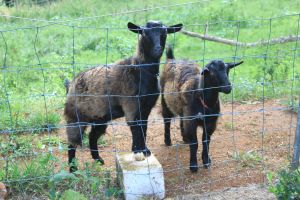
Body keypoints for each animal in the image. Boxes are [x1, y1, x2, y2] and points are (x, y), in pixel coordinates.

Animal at [65, 21, 183, 172]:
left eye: (165, 33)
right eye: (144, 33)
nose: (158, 49)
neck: (140, 71)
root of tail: (71, 84)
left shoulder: (146, 108)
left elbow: (143, 128)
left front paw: (144, 151)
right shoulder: (130, 105)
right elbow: (135, 128)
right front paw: (138, 152)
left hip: (100, 117)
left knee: (92, 136)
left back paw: (98, 160)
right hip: (75, 117)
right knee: (72, 143)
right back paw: (73, 169)